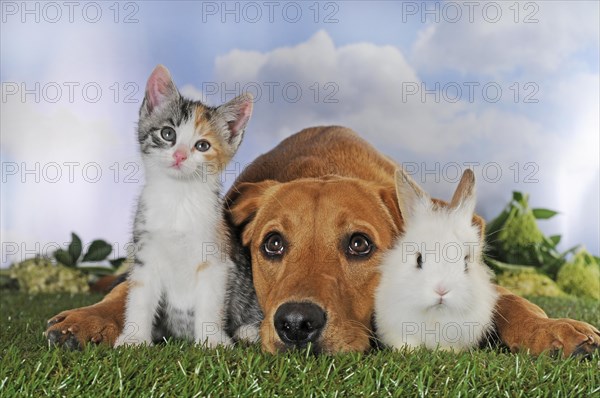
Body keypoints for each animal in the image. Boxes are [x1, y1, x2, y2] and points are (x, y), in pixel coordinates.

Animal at [113, 64, 252, 346]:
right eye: (168, 134)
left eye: (203, 145)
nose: (179, 155)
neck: (178, 197)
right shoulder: (146, 252)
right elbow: (140, 296)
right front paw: (134, 337)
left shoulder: (216, 256)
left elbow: (210, 303)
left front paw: (212, 340)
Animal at [376, 169, 496, 352]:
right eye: (419, 259)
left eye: (466, 263)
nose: (441, 290)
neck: (435, 318)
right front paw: (409, 351)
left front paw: (446, 351)